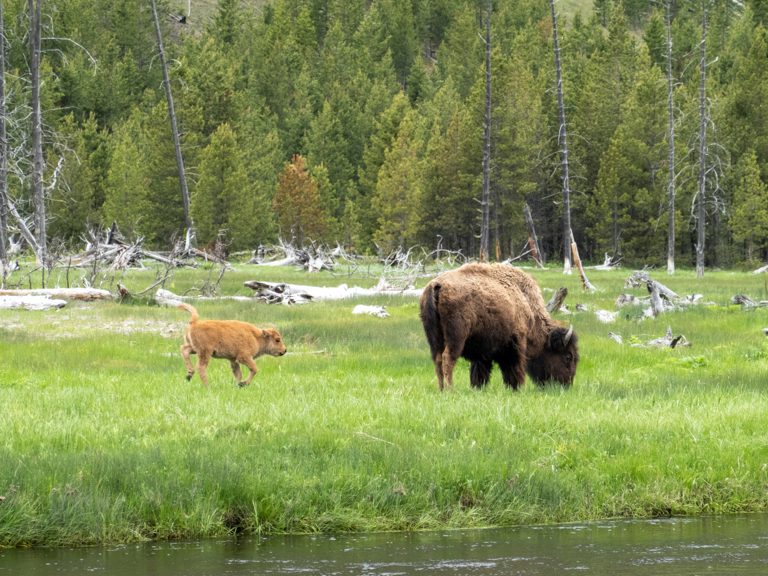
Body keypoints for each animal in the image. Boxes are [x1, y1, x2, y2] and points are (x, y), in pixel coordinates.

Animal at [420, 264, 576, 392]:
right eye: (568, 356)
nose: (566, 385)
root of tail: (437, 285)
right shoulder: (516, 342)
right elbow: (515, 366)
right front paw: (517, 388)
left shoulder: (482, 351)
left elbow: (480, 370)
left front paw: (479, 387)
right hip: (456, 337)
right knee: (448, 359)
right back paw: (450, 389)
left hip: (434, 338)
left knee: (438, 359)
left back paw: (441, 388)